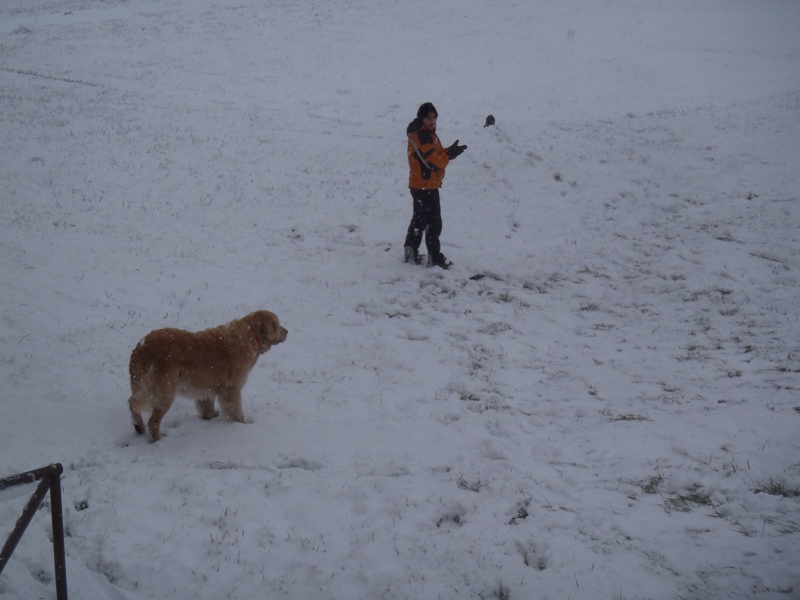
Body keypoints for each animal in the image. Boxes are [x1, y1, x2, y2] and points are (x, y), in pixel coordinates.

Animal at [131, 312, 290, 438]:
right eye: (277, 324)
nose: (287, 331)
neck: (251, 334)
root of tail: (144, 346)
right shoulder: (231, 388)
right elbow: (236, 410)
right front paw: (241, 424)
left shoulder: (206, 386)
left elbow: (206, 405)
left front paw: (210, 416)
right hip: (165, 393)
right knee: (153, 421)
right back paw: (157, 438)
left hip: (140, 388)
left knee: (132, 403)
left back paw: (139, 427)